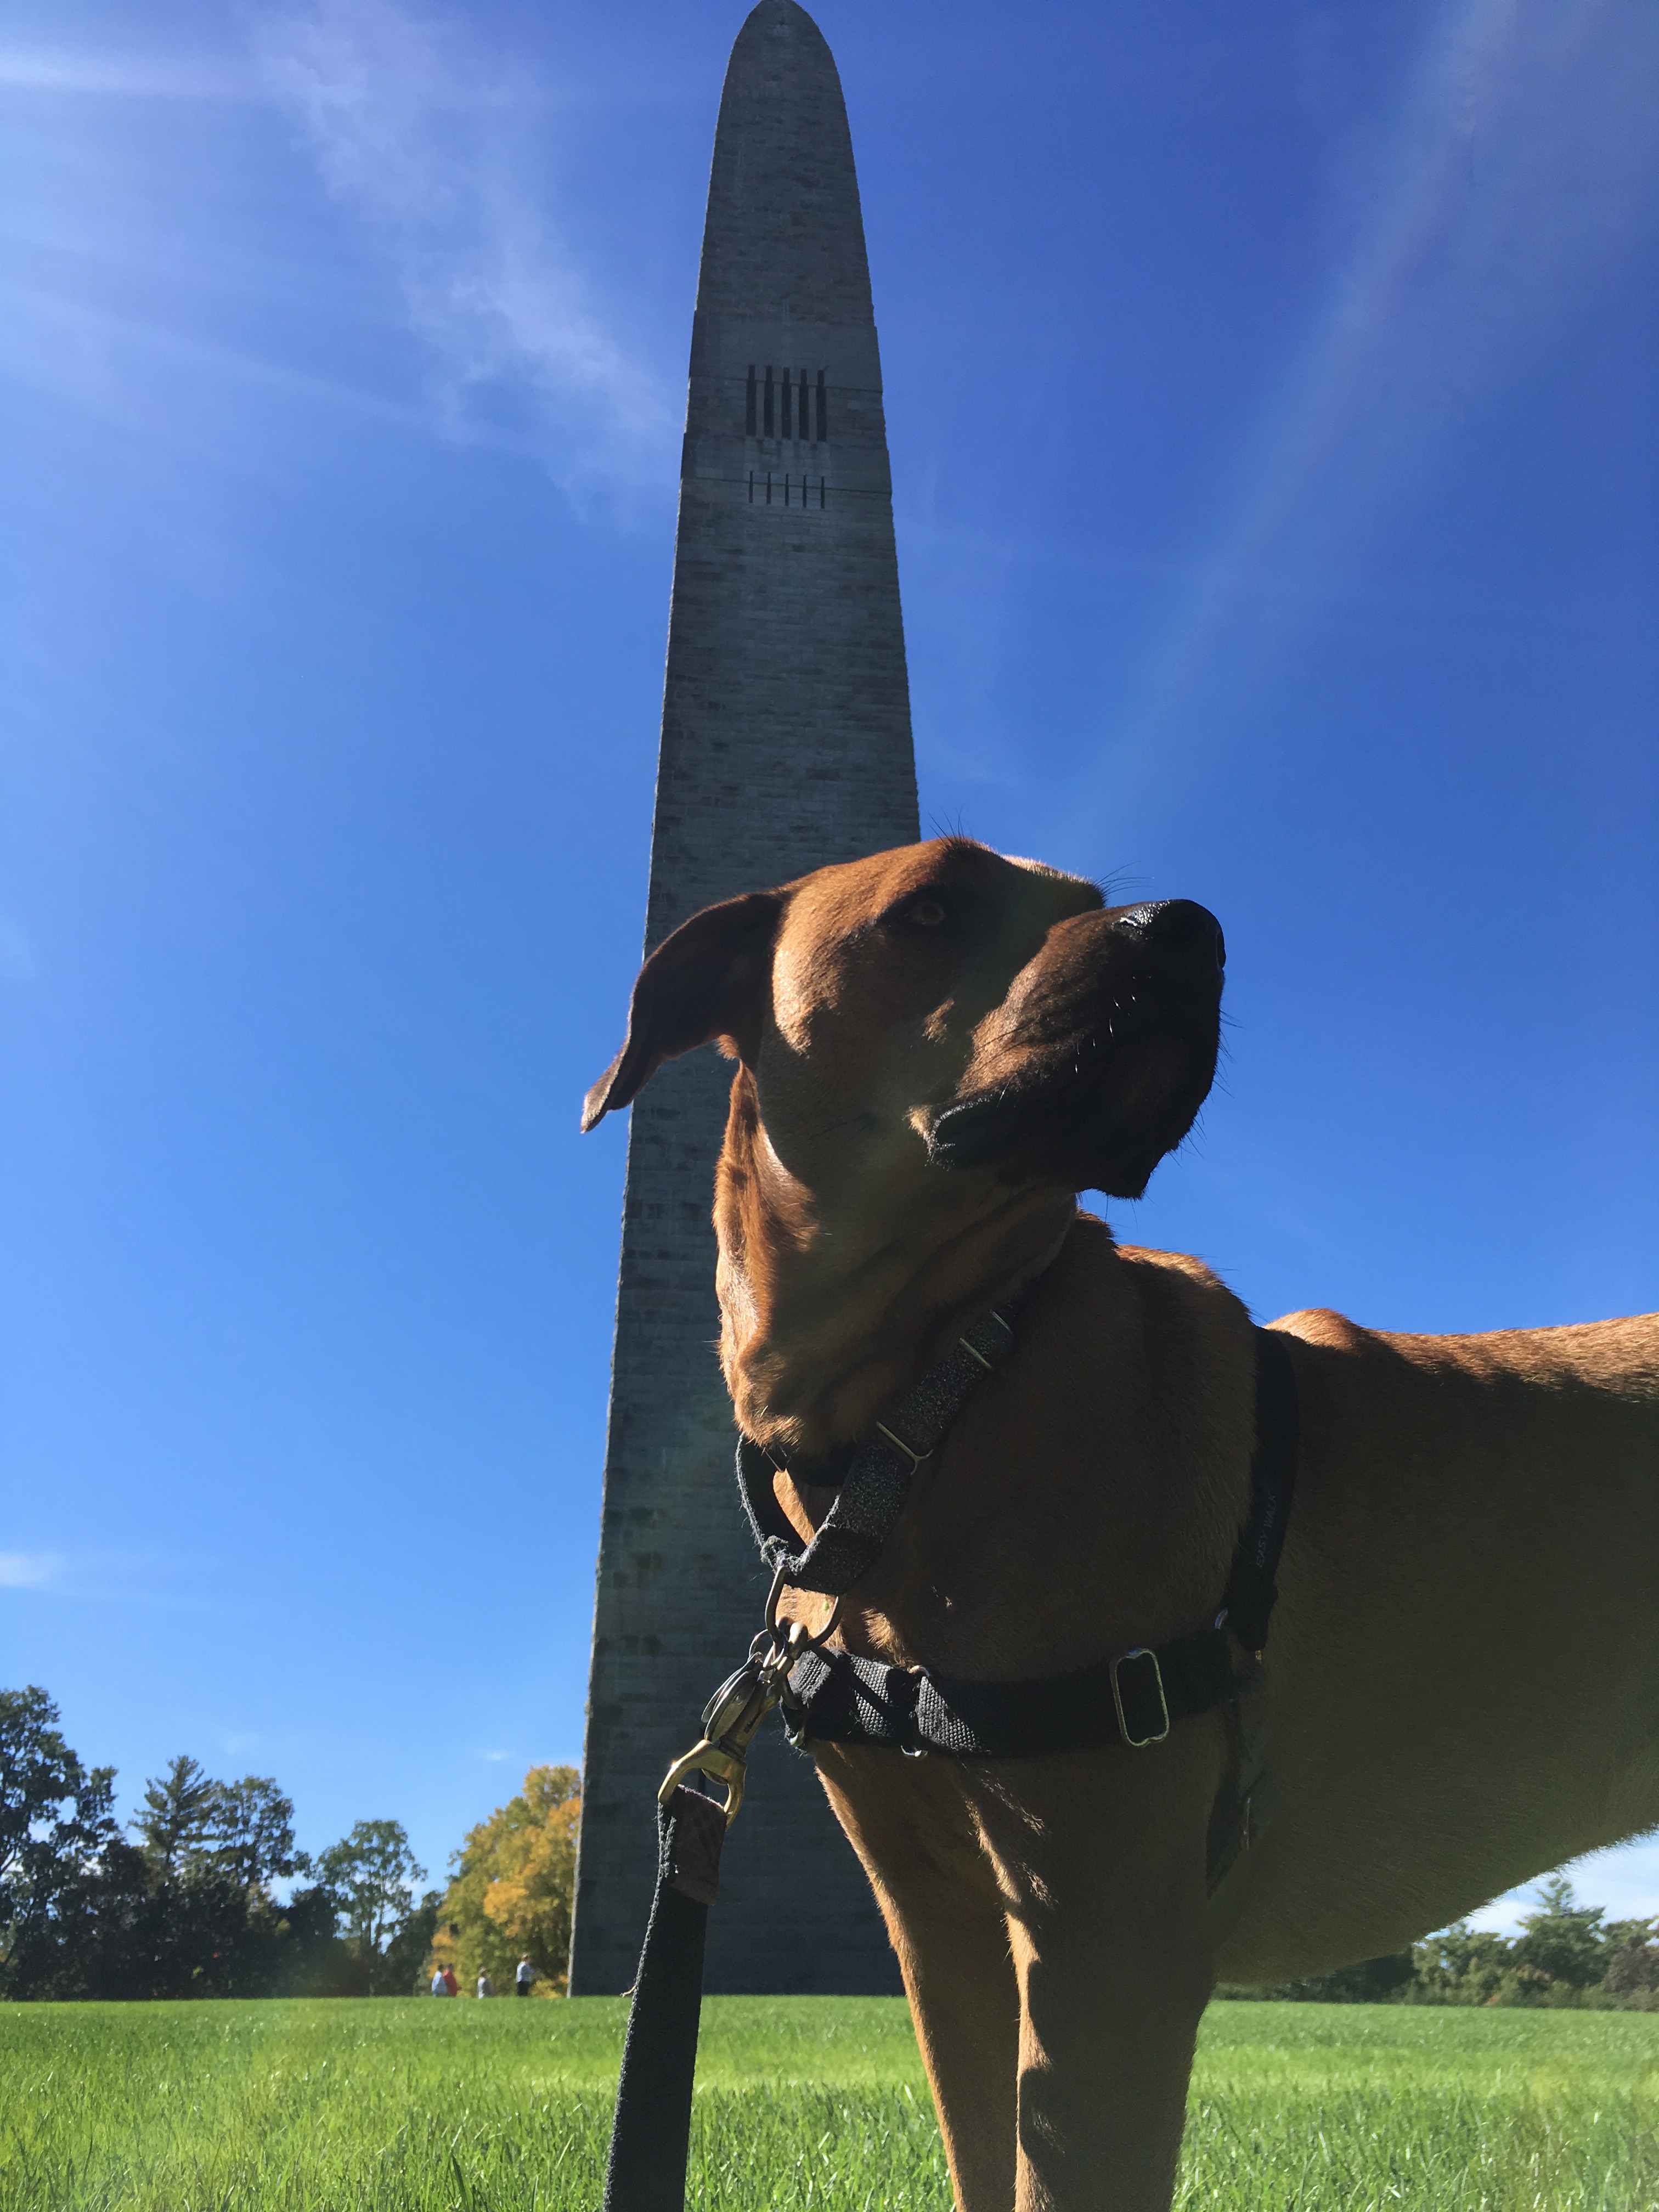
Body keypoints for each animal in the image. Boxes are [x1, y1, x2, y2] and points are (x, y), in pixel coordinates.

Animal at [584, 835, 1659, 2212]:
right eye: (932, 907)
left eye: (1090, 903)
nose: (1193, 931)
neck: (939, 1389)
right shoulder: (944, 1935)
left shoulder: (1106, 1941)